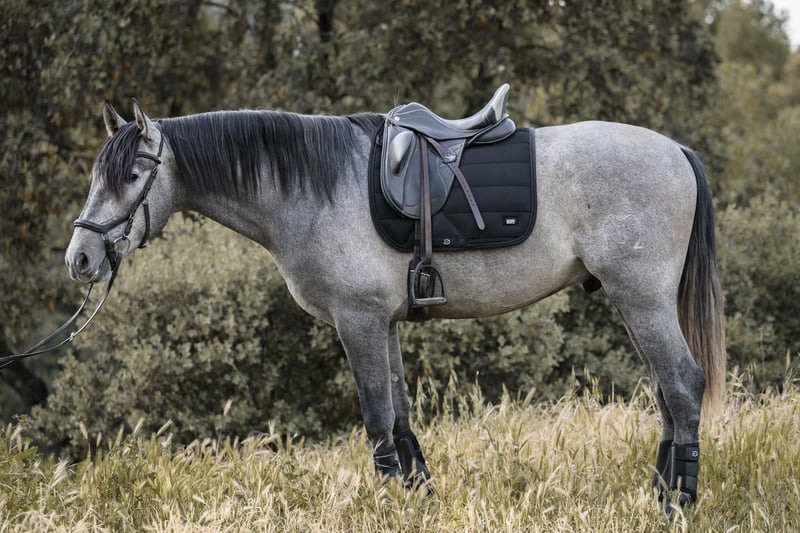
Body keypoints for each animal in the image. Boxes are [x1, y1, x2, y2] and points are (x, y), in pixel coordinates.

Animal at [65, 97, 725, 511]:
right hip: (634, 302)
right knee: (667, 395)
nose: (81, 259)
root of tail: (676, 152)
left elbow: (378, 420)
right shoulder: (382, 323)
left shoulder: (357, 321)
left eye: (131, 176)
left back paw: (676, 505)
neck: (313, 188)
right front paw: (418, 500)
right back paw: (659, 495)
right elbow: (402, 418)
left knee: (683, 385)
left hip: (641, 298)